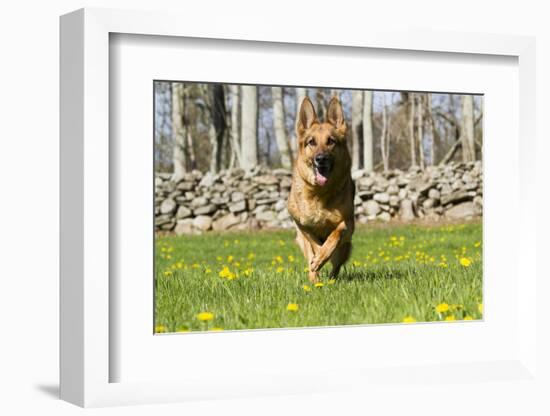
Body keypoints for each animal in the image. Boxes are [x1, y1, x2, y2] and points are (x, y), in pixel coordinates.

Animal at [286, 96, 356, 282]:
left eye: (331, 141)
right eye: (311, 142)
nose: (321, 159)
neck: (318, 193)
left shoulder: (347, 223)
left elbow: (335, 235)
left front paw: (322, 256)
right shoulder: (301, 225)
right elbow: (314, 245)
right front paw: (317, 258)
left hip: (345, 248)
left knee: (336, 265)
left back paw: (330, 278)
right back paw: (315, 279)